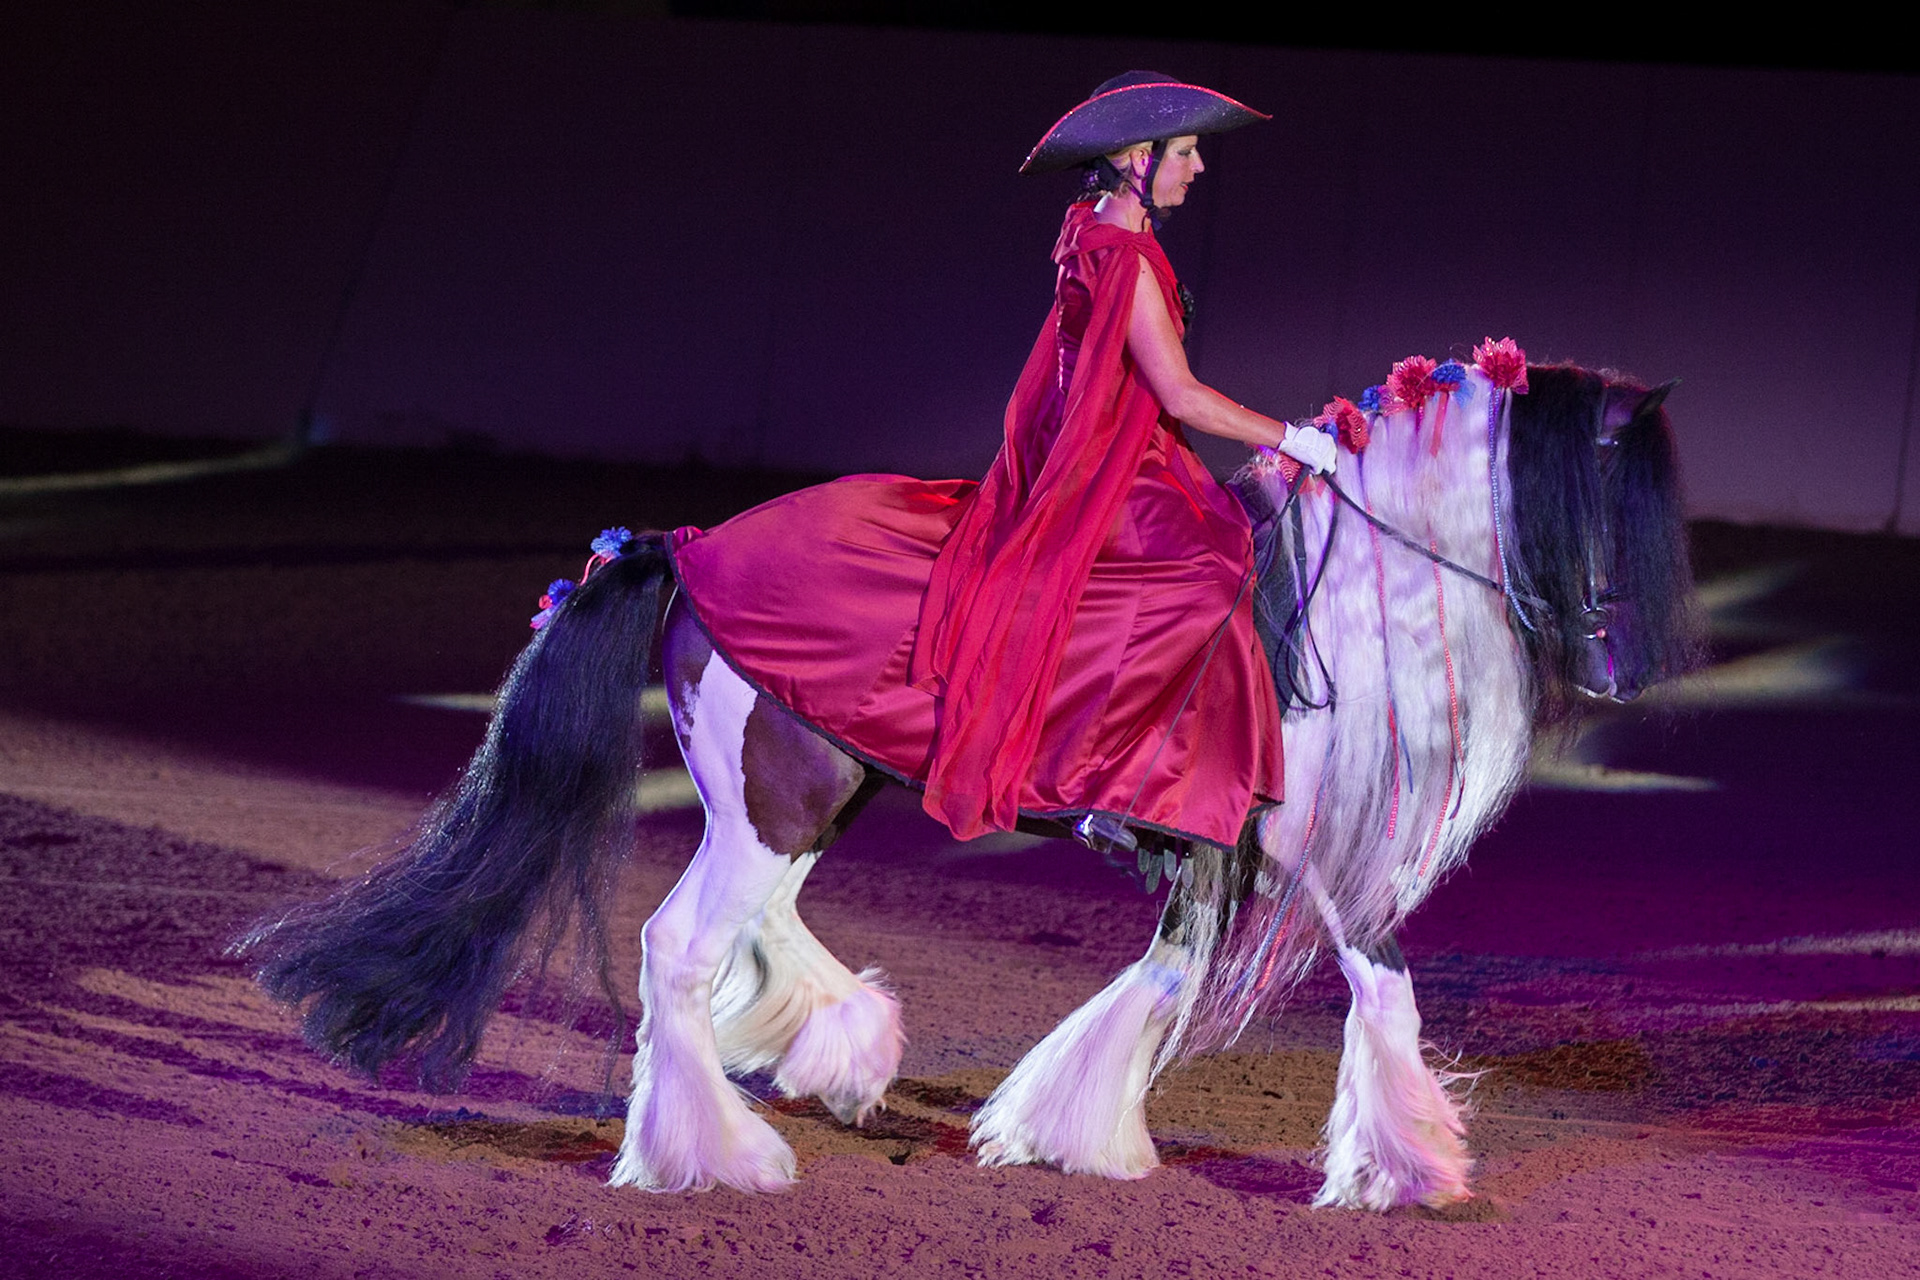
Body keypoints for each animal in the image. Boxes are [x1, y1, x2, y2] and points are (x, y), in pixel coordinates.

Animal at [241, 347, 1699, 1209]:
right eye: (1598, 488)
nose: (1623, 673)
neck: (1336, 610)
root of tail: (686, 547)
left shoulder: (1219, 853)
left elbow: (1167, 983)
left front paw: (1065, 1128)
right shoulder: (1300, 853)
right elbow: (1379, 982)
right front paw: (1414, 1166)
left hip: (811, 797)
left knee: (759, 933)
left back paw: (833, 1052)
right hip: (777, 802)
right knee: (679, 945)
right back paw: (715, 1156)